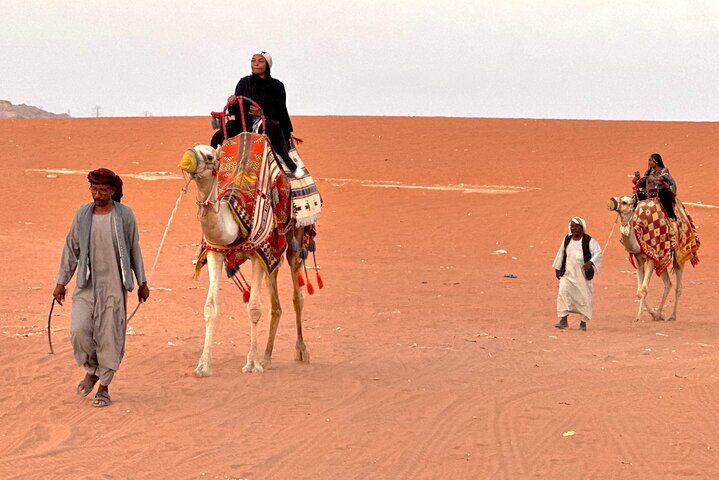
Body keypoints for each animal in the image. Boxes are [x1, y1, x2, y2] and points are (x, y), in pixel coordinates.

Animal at [179, 143, 311, 376]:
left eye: (210, 156)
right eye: (192, 148)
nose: (186, 160)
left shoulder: (258, 253)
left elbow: (254, 308)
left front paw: (252, 364)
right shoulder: (215, 252)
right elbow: (210, 307)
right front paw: (203, 365)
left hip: (295, 235)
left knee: (297, 295)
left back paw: (300, 350)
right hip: (273, 253)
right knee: (275, 300)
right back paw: (267, 357)